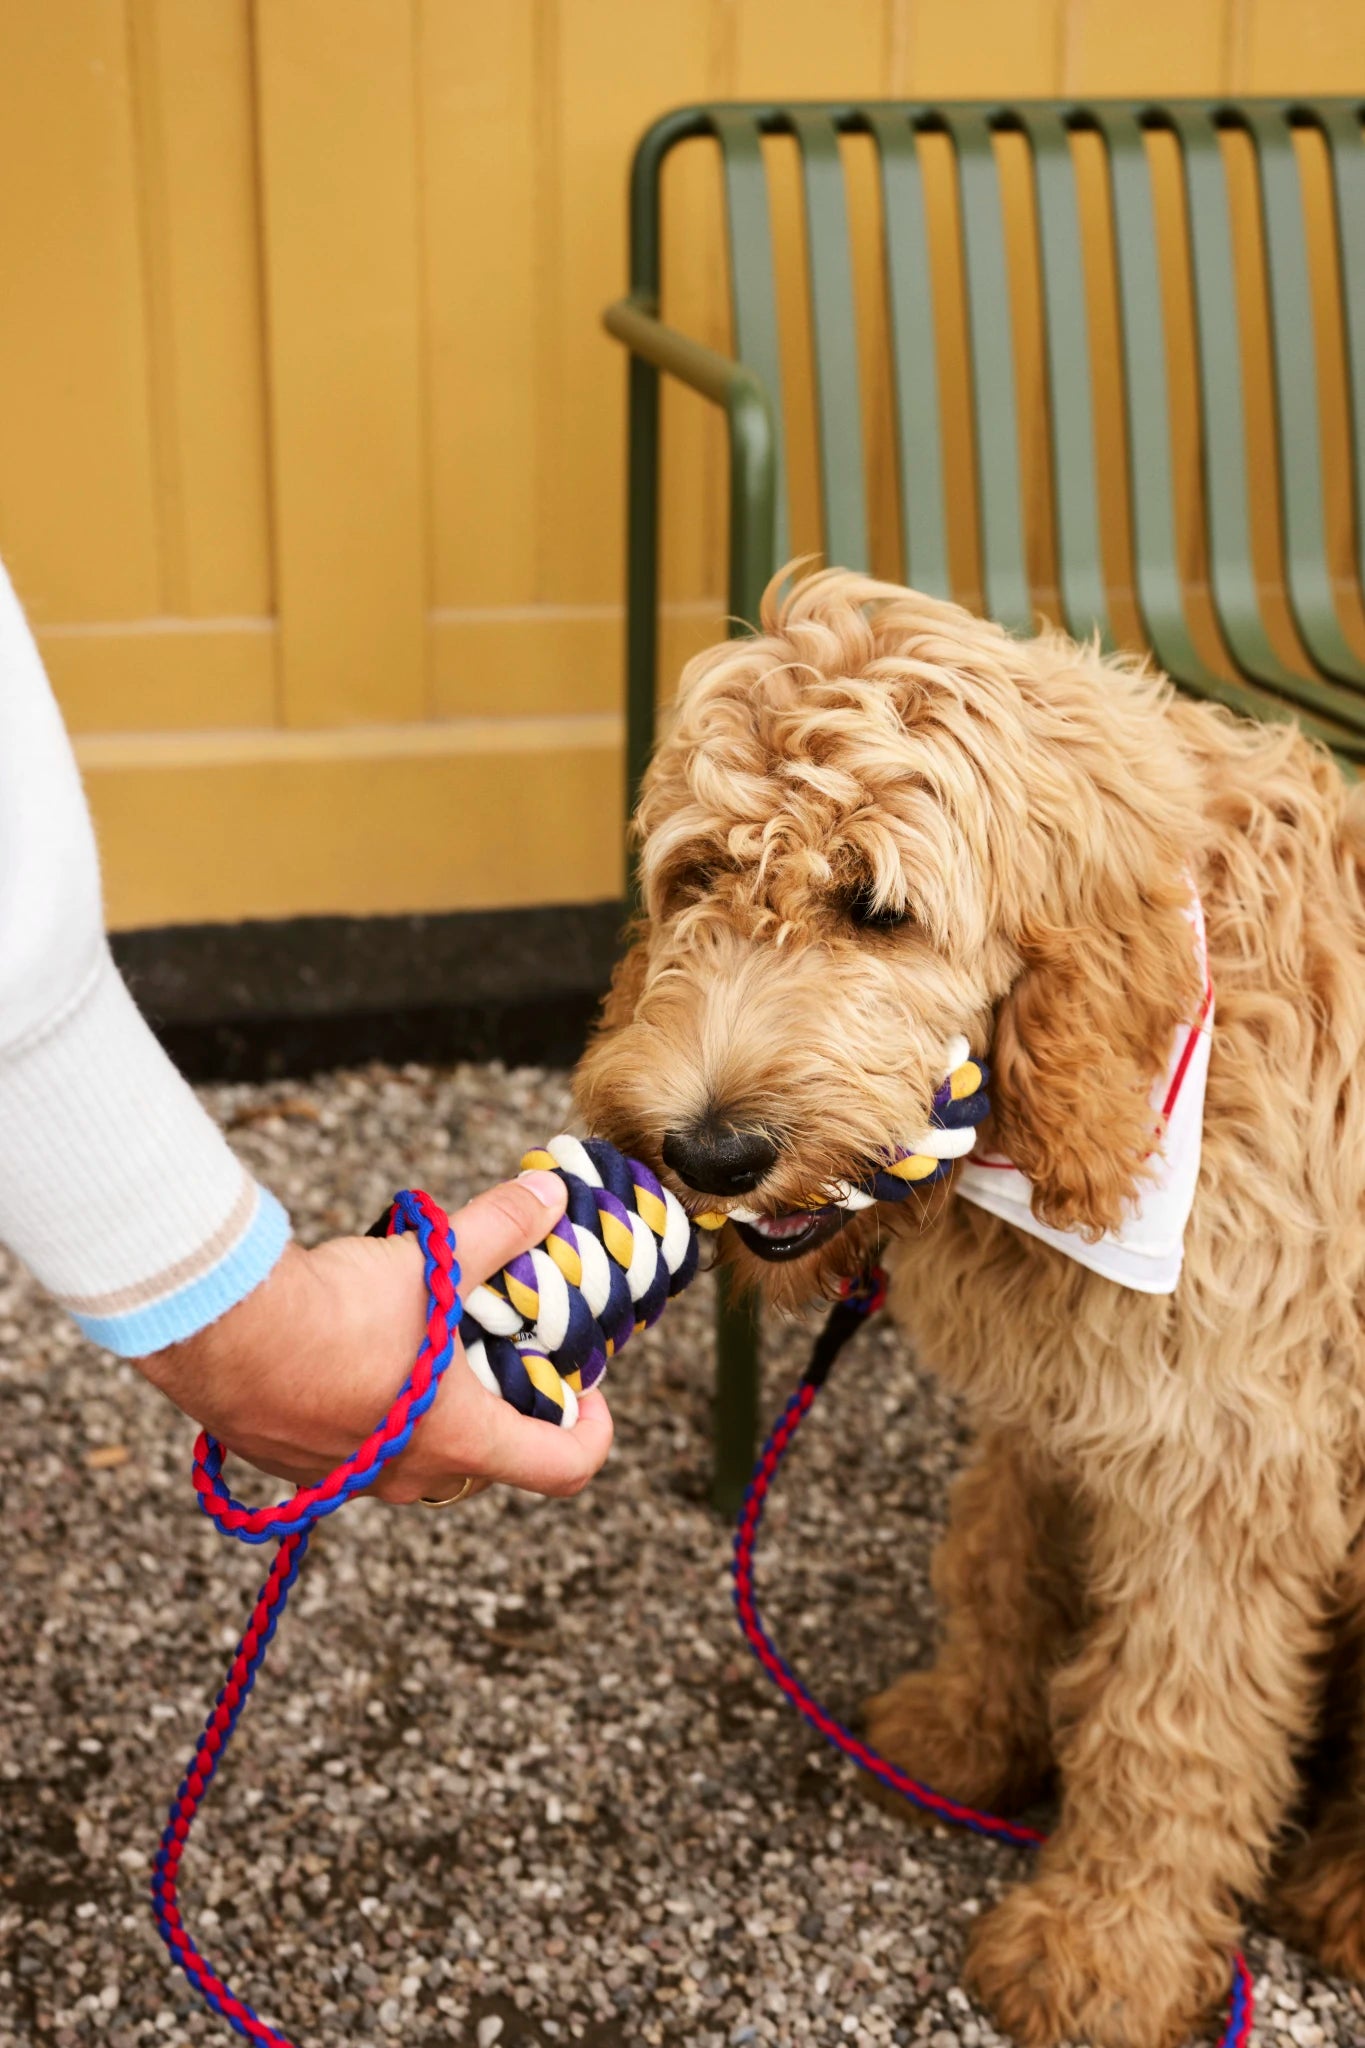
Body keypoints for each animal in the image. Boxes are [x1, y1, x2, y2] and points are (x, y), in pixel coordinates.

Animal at [577, 565, 1365, 2048]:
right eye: (697, 875)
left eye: (877, 907)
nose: (711, 1150)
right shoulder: (1066, 1394)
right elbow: (999, 1553)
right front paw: (971, 1732)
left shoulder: (1228, 1457)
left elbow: (1171, 1717)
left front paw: (1104, 1950)